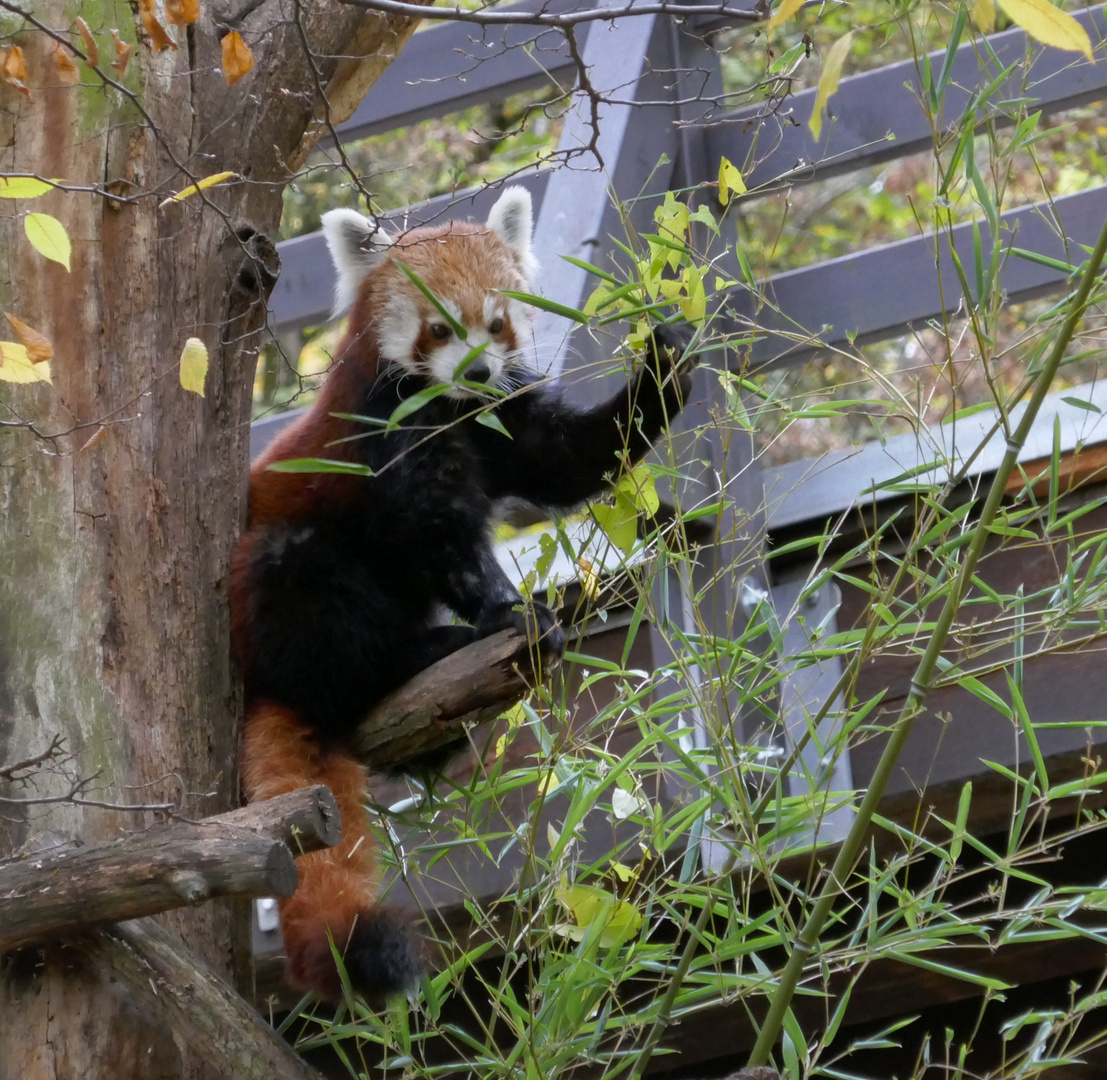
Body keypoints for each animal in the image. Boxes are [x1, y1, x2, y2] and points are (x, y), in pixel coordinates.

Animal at [232, 185, 695, 1004]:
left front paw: (662, 366)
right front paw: (507, 611)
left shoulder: (503, 418)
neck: (454, 408)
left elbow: (564, 460)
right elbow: (440, 533)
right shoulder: (389, 428)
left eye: (497, 321)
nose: (477, 370)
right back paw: (422, 654)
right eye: (440, 327)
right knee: (310, 596)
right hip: (279, 588)